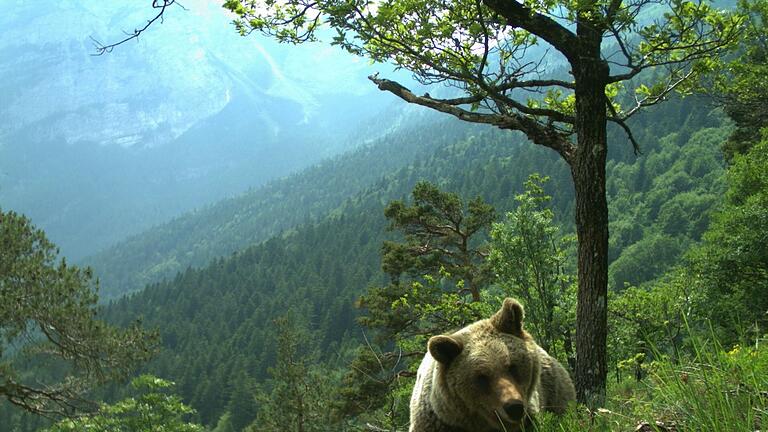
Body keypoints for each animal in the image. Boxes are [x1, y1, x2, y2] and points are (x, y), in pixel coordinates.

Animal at [412, 298, 572, 430]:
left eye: (512, 366)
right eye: (481, 377)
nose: (514, 407)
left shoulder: (530, 419)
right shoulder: (438, 423)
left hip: (554, 390)